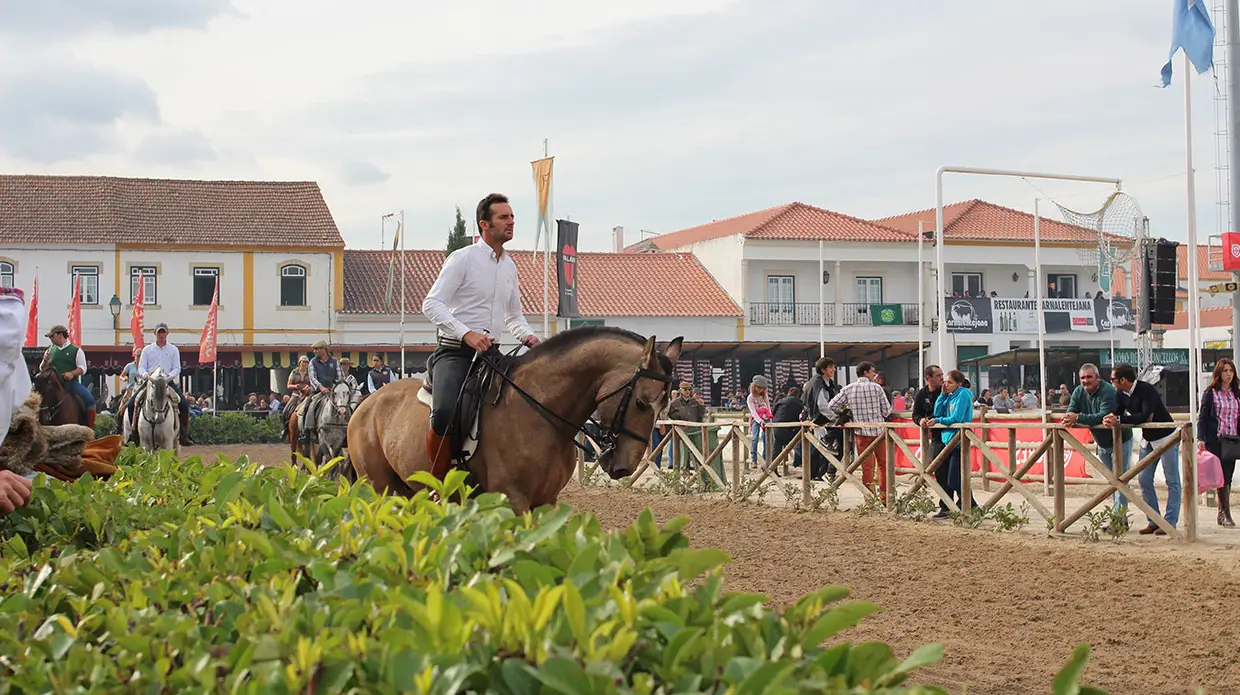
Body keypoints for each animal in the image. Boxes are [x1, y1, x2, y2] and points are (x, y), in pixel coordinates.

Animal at [344, 327, 684, 516]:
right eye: (640, 402)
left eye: (665, 406)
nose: (624, 467)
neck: (539, 409)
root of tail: (365, 405)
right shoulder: (513, 499)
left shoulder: (547, 502)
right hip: (381, 488)